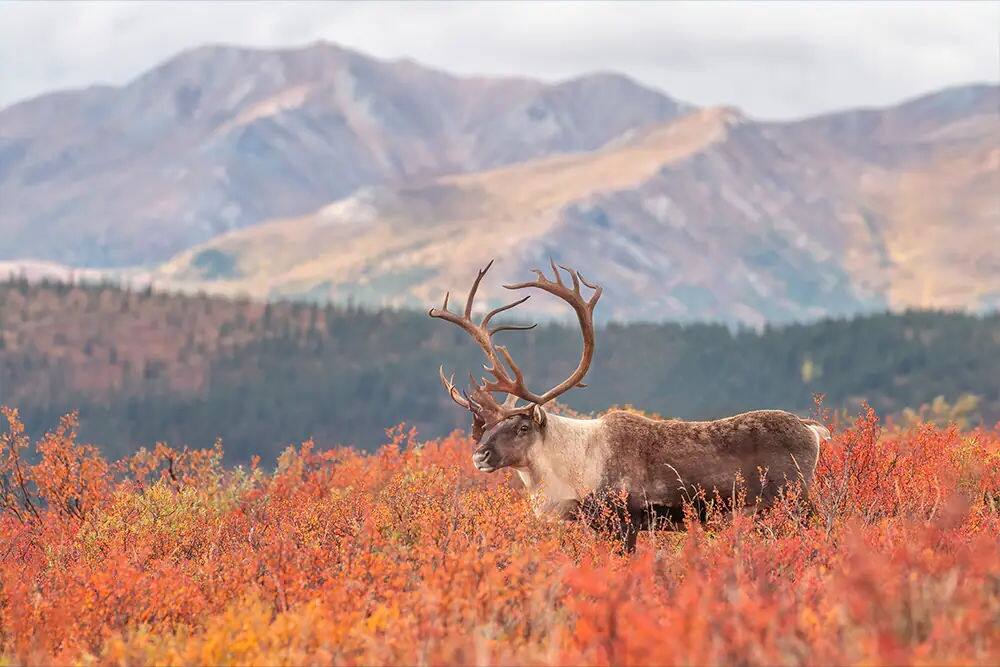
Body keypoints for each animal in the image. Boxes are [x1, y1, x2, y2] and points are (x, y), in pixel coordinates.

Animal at [429, 261, 830, 551]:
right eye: (488, 426)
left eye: (522, 427)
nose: (479, 455)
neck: (574, 463)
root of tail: (812, 429)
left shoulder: (626, 520)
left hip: (791, 500)